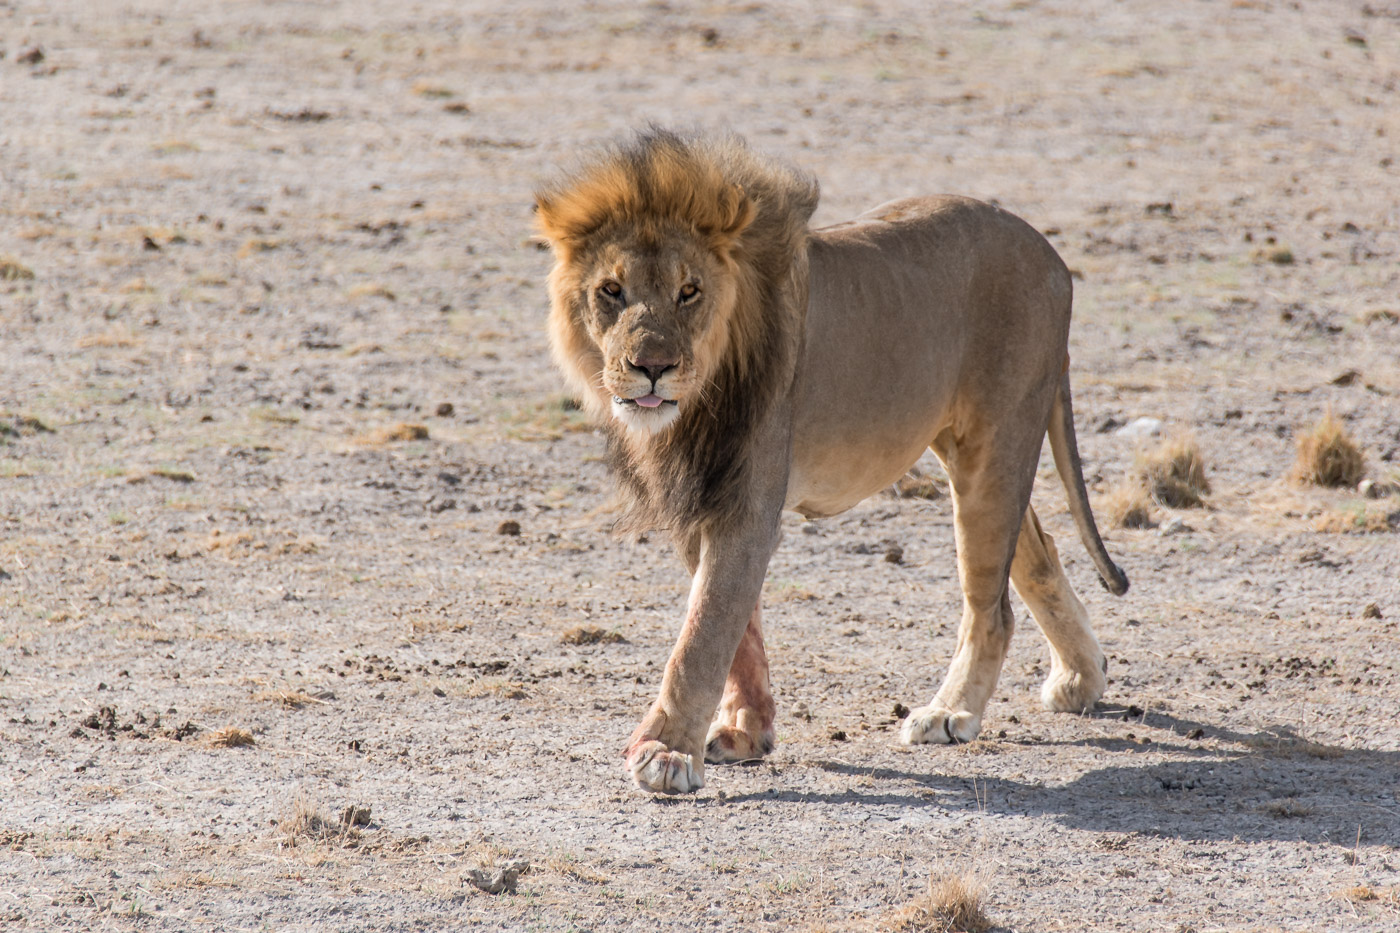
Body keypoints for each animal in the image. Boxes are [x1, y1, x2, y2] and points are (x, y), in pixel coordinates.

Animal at [529, 128, 1131, 790]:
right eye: (612, 291)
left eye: (689, 292)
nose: (652, 367)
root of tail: (1048, 251)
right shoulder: (701, 497)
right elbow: (737, 629)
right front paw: (747, 730)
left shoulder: (746, 503)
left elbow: (703, 634)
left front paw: (665, 751)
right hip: (972, 448)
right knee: (1038, 556)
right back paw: (1080, 677)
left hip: (996, 444)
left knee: (992, 605)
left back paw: (951, 712)